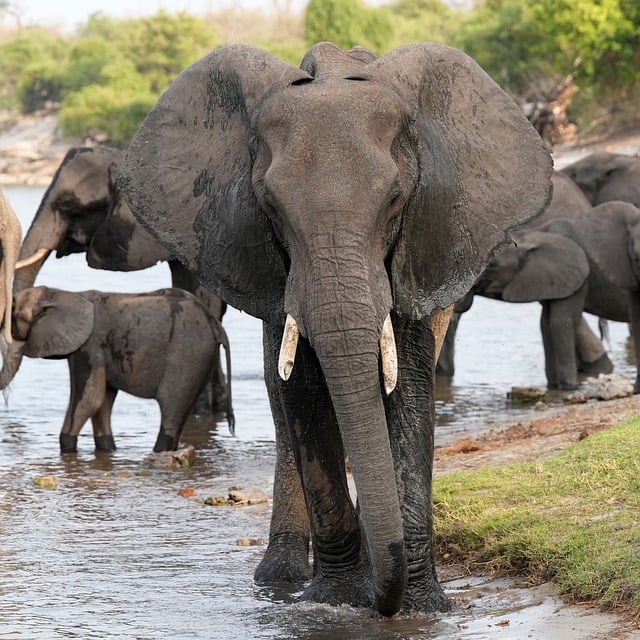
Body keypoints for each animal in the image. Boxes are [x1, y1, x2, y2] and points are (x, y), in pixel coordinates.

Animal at [0, 285, 234, 453]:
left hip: (187, 354)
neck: (62, 294)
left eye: (14, 312)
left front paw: (67, 450)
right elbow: (103, 401)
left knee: (171, 408)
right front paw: (108, 451)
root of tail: (216, 325)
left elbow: (89, 400)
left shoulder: (90, 347)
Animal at [118, 42, 552, 615]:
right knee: (282, 404)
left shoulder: (416, 247)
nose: (384, 602)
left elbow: (407, 389)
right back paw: (280, 578)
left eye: (395, 200)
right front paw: (339, 600)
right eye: (271, 206)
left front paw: (420, 607)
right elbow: (303, 393)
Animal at [474, 200, 640, 391]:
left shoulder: (579, 276)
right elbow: (546, 324)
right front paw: (553, 387)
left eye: (492, 264)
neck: (537, 235)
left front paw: (568, 387)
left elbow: (561, 322)